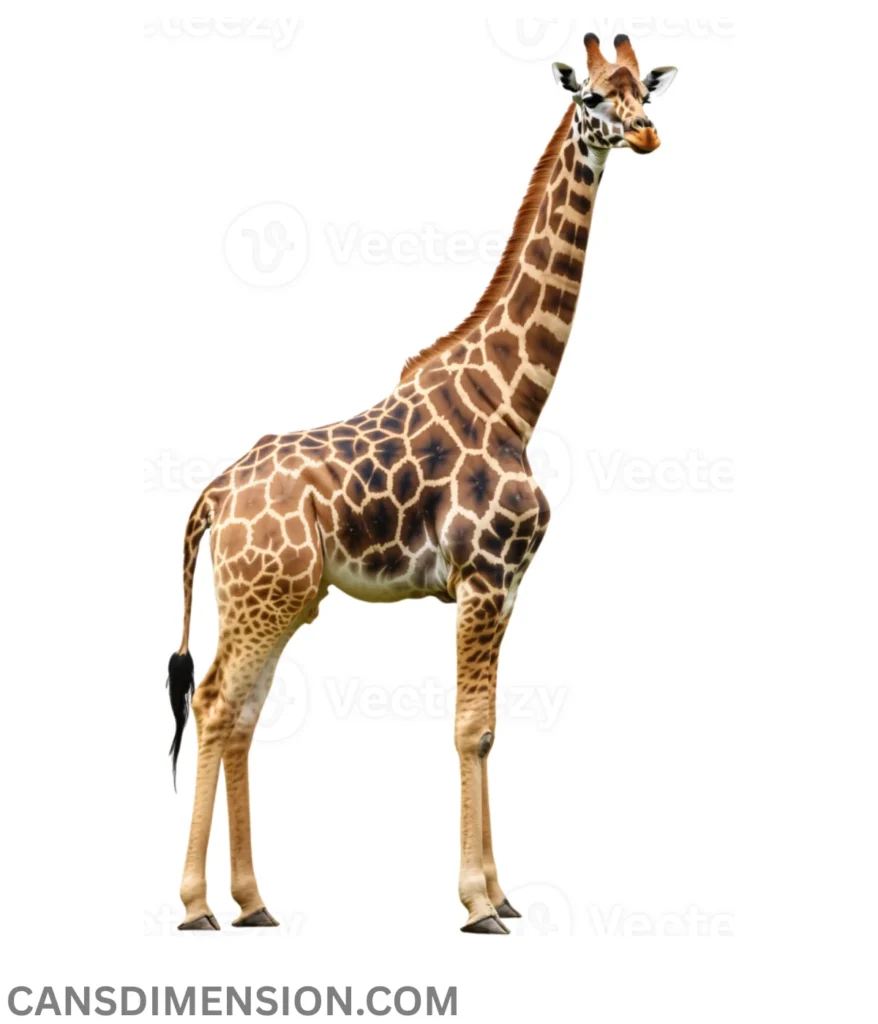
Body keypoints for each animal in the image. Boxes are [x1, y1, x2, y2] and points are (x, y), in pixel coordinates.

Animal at [167, 34, 678, 934]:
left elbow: (490, 726)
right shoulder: (484, 574)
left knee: (241, 712)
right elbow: (472, 728)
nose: (647, 135)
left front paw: (502, 893)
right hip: (266, 595)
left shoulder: (507, 584)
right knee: (218, 703)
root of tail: (214, 497)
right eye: (590, 98)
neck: (514, 399)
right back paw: (196, 907)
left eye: (644, 92)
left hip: (272, 597)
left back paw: (254, 901)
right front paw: (477, 904)